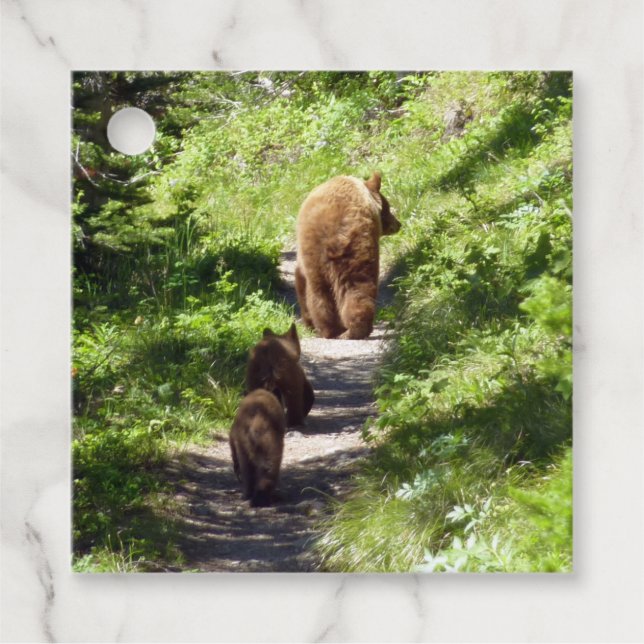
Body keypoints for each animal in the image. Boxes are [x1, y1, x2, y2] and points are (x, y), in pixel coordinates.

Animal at [295, 172, 400, 340]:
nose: (398, 224)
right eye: (388, 207)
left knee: (324, 292)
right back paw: (350, 329)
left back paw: (334, 330)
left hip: (326, 254)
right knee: (354, 287)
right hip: (353, 249)